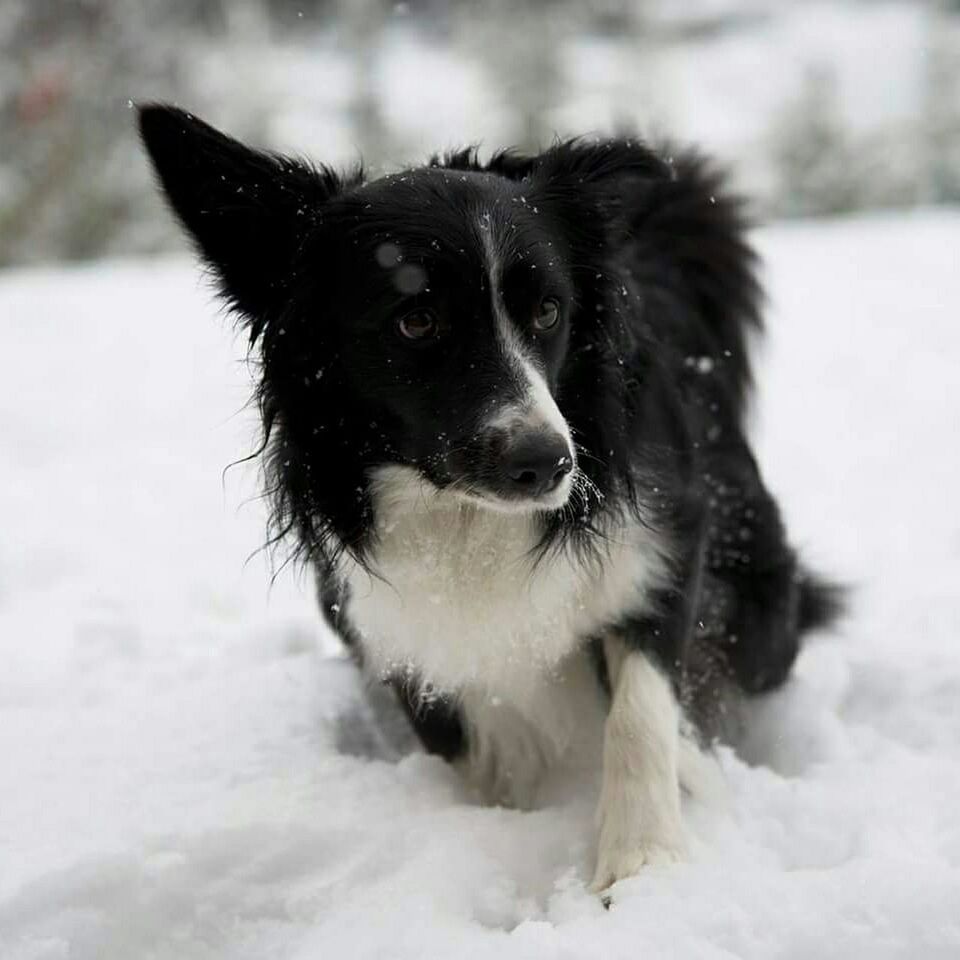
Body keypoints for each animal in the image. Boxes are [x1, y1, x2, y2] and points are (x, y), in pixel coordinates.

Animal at [137, 101, 840, 888]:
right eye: (416, 320)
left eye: (547, 313)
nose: (550, 464)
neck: (465, 518)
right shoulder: (386, 619)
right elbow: (463, 732)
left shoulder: (666, 540)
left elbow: (640, 707)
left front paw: (643, 859)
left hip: (760, 596)